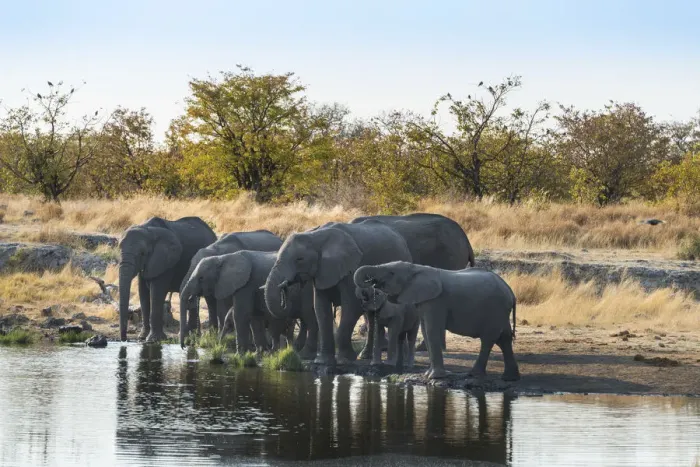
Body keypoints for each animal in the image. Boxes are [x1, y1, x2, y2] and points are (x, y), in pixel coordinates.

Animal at [181, 249, 317, 355]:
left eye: (201, 278)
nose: (184, 347)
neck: (224, 258)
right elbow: (254, 317)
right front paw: (259, 353)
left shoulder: (246, 284)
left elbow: (242, 314)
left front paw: (239, 355)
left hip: (307, 291)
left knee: (308, 317)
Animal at [264, 221, 412, 365]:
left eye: (299, 259)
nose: (285, 291)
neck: (316, 236)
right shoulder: (321, 271)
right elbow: (320, 308)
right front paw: (323, 361)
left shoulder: (352, 269)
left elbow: (351, 306)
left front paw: (345, 360)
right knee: (371, 315)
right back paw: (365, 356)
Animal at [354, 262, 520, 381]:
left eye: (391, 273)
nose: (371, 281)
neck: (416, 268)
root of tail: (511, 292)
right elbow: (425, 330)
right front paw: (428, 375)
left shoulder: (435, 301)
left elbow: (431, 329)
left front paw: (435, 377)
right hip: (501, 312)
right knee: (504, 338)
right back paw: (509, 378)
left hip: (496, 309)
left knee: (488, 339)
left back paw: (474, 374)